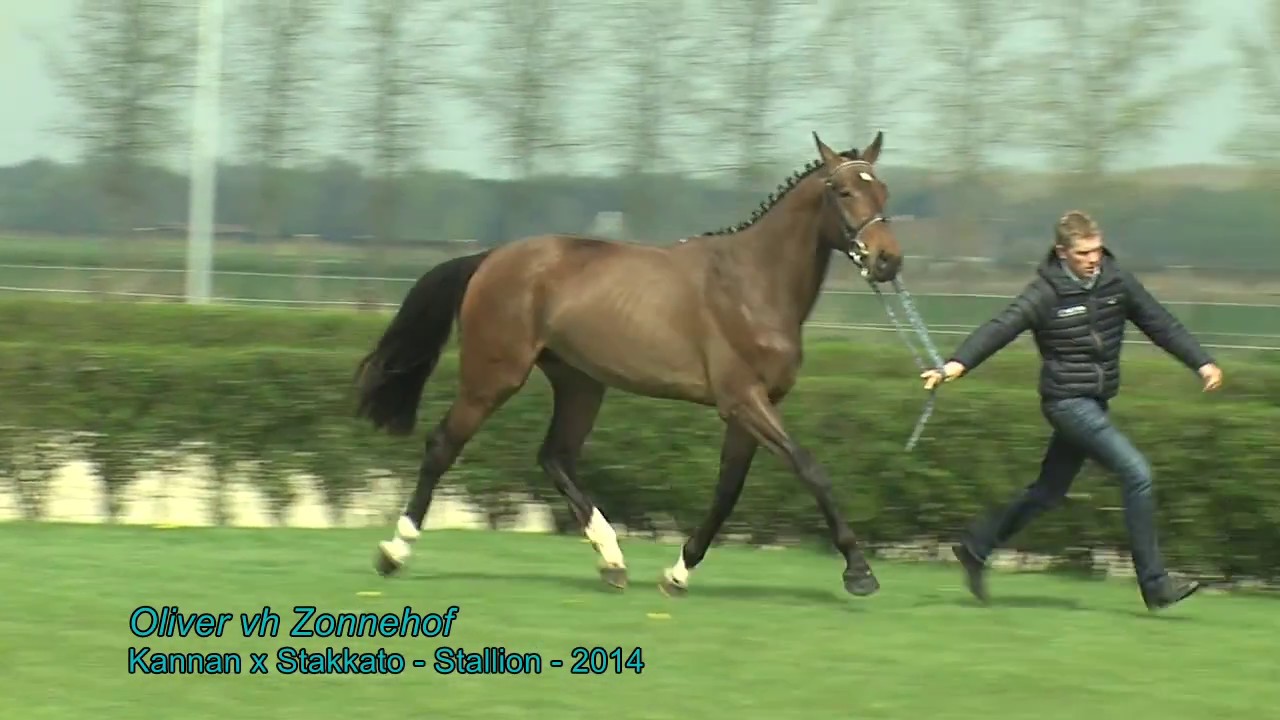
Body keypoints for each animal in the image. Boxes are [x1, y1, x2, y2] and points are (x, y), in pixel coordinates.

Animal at [354, 131, 903, 598]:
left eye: (883, 191)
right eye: (844, 190)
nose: (888, 261)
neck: (752, 285)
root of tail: (490, 258)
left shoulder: (753, 407)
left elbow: (727, 492)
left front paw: (677, 574)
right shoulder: (743, 400)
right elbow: (810, 468)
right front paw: (859, 572)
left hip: (580, 383)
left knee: (555, 457)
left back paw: (613, 561)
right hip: (493, 377)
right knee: (443, 446)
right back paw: (393, 552)